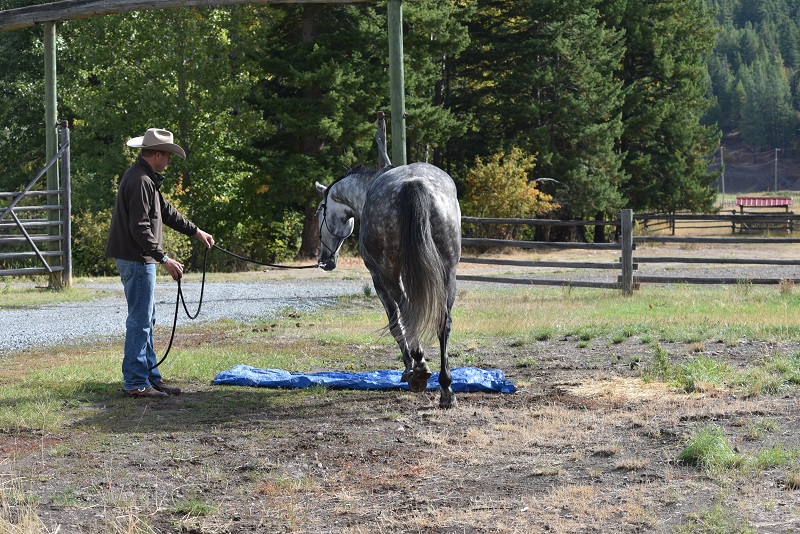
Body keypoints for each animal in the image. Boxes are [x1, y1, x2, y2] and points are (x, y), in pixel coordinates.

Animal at [315, 162, 462, 408]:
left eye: (319, 211)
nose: (325, 260)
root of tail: (414, 184)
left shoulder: (378, 278)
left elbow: (395, 323)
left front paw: (411, 366)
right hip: (448, 273)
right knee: (444, 323)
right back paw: (446, 388)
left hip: (389, 273)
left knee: (407, 311)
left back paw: (419, 368)